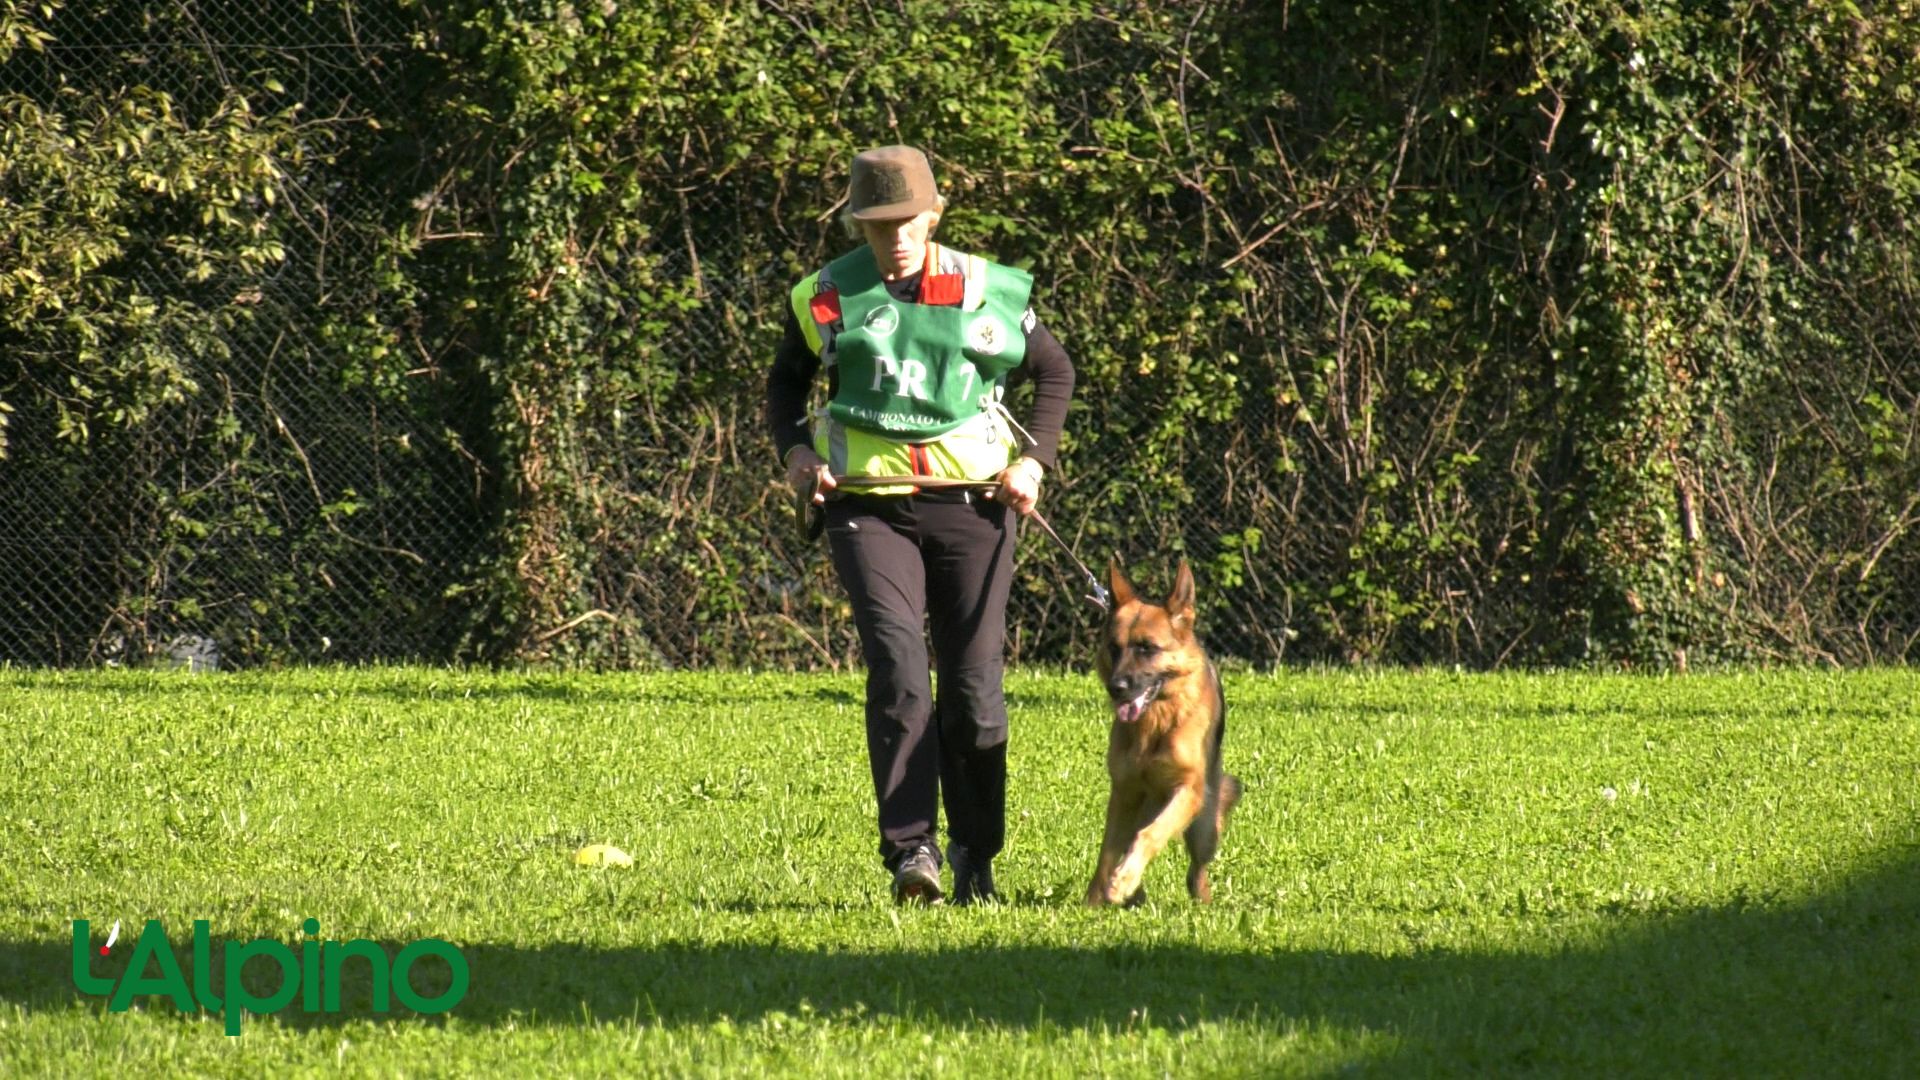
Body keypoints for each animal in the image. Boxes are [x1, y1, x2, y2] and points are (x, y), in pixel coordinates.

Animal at [1082, 553, 1244, 899]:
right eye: (1114, 648)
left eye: (1147, 648)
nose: (1116, 688)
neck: (1157, 722)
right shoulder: (1124, 793)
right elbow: (1106, 855)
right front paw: (1096, 899)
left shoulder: (1188, 790)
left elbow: (1150, 834)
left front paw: (1124, 879)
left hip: (1202, 828)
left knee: (1196, 870)